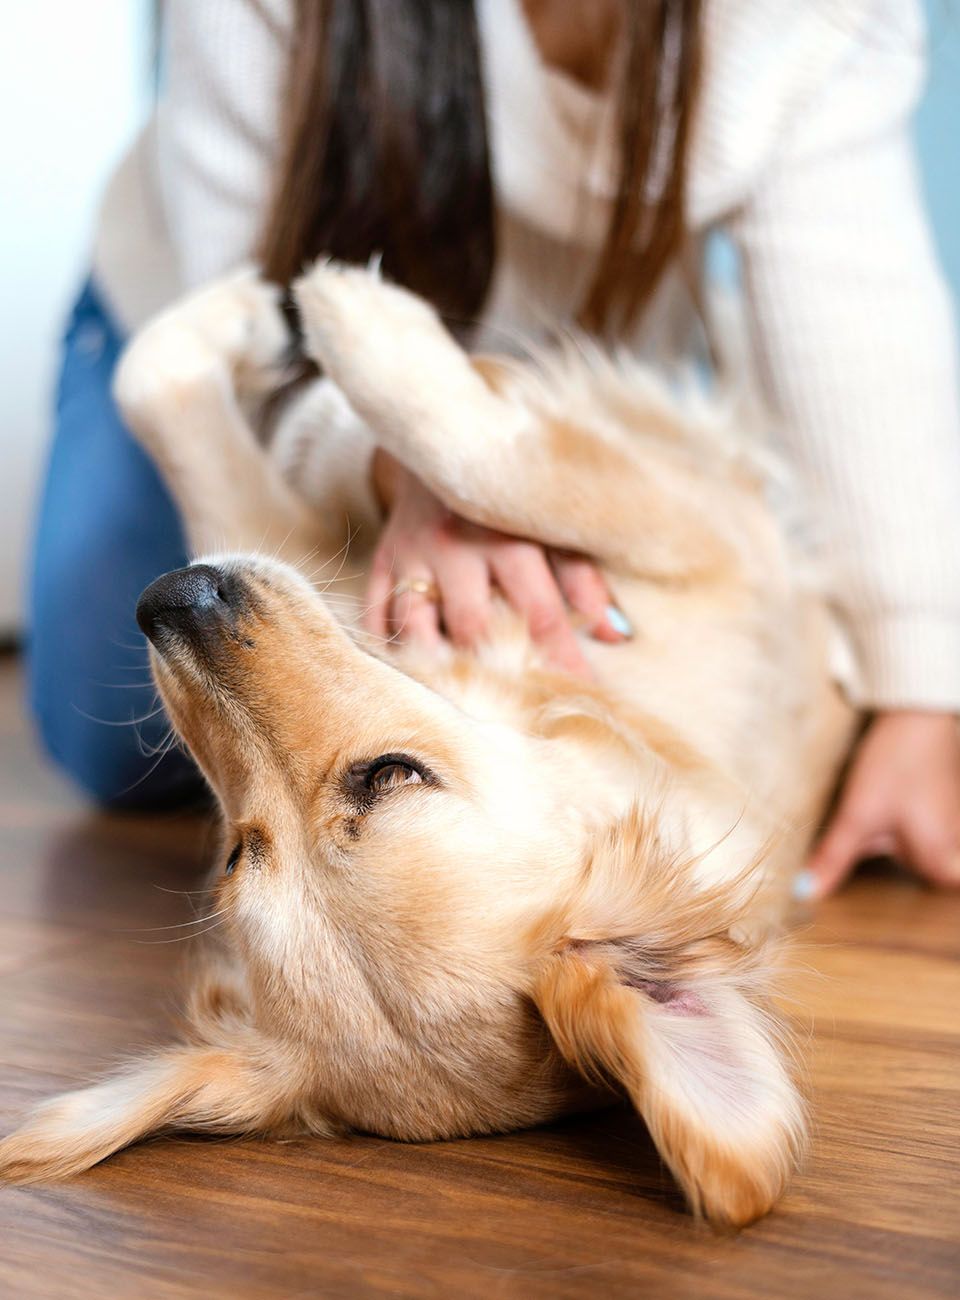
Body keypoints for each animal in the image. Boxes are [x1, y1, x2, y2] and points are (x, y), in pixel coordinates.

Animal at [0, 266, 853, 1227]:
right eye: (237, 856)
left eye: (388, 775)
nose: (168, 601)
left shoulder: (708, 535)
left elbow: (495, 466)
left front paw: (337, 327)